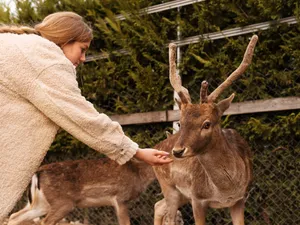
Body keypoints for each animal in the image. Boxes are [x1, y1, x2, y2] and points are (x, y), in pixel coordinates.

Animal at [7, 157, 157, 225]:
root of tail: (38, 172)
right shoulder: (121, 197)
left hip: (42, 204)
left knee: (15, 216)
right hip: (63, 203)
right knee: (44, 221)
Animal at [152, 33, 258, 225]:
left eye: (207, 124)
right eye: (180, 123)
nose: (177, 151)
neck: (225, 190)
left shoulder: (240, 199)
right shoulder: (197, 198)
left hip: (180, 195)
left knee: (158, 205)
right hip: (168, 186)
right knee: (168, 215)